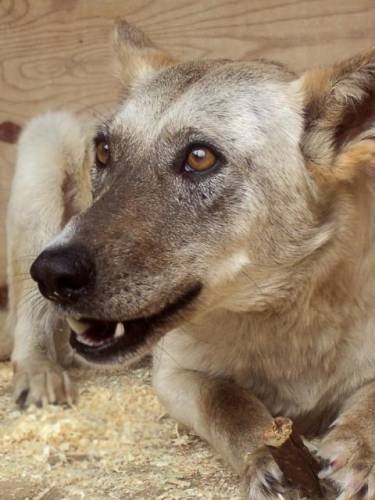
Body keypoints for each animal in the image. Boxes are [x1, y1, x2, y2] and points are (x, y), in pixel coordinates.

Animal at [0, 22, 375, 500]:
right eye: (103, 152)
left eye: (200, 157)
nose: (52, 274)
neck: (281, 318)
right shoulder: (175, 375)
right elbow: (229, 402)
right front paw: (264, 456)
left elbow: (369, 403)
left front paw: (356, 449)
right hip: (41, 164)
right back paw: (38, 370)